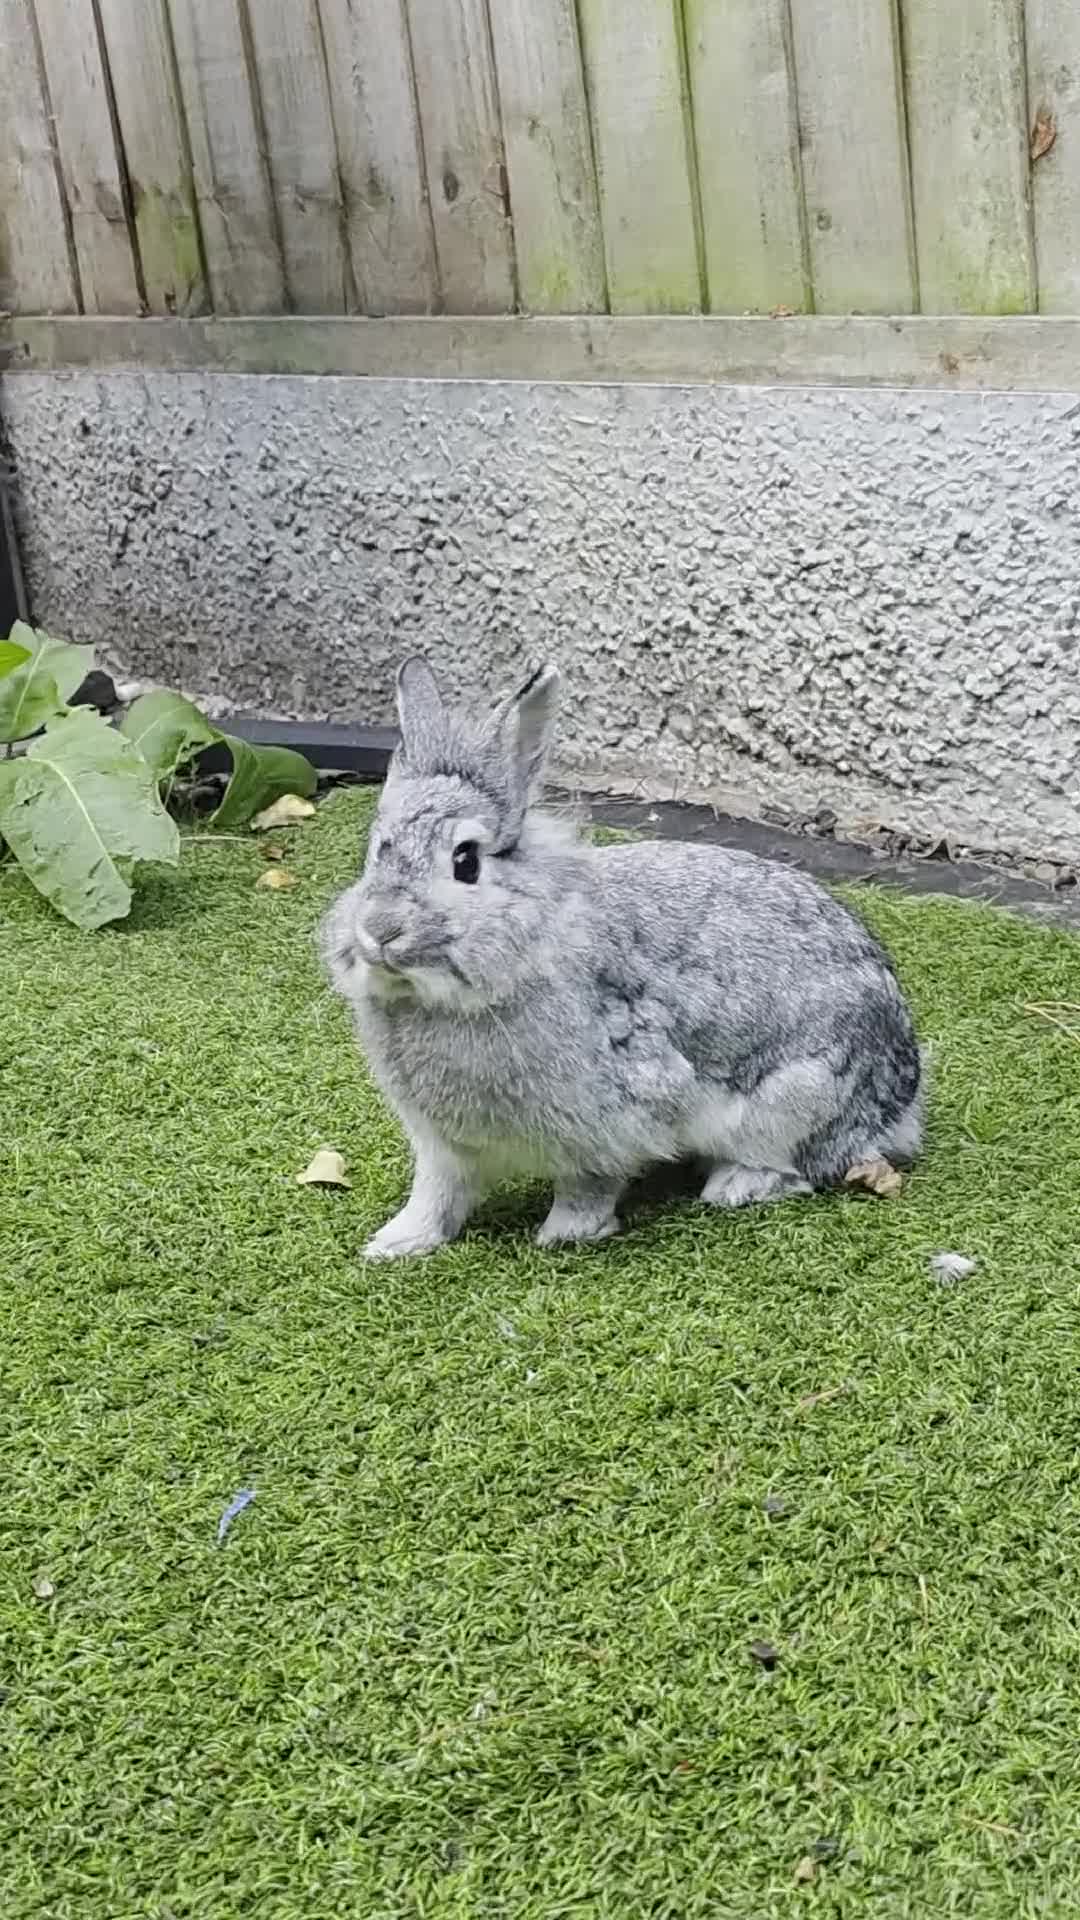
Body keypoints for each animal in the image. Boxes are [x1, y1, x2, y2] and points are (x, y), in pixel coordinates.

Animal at [322, 658, 923, 1260]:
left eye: (465, 861)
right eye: (376, 851)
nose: (380, 930)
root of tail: (903, 1094)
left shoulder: (605, 1119)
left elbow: (589, 1184)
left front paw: (565, 1234)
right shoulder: (442, 1146)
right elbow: (438, 1195)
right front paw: (394, 1243)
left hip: (790, 1103)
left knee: (802, 1166)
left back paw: (734, 1185)